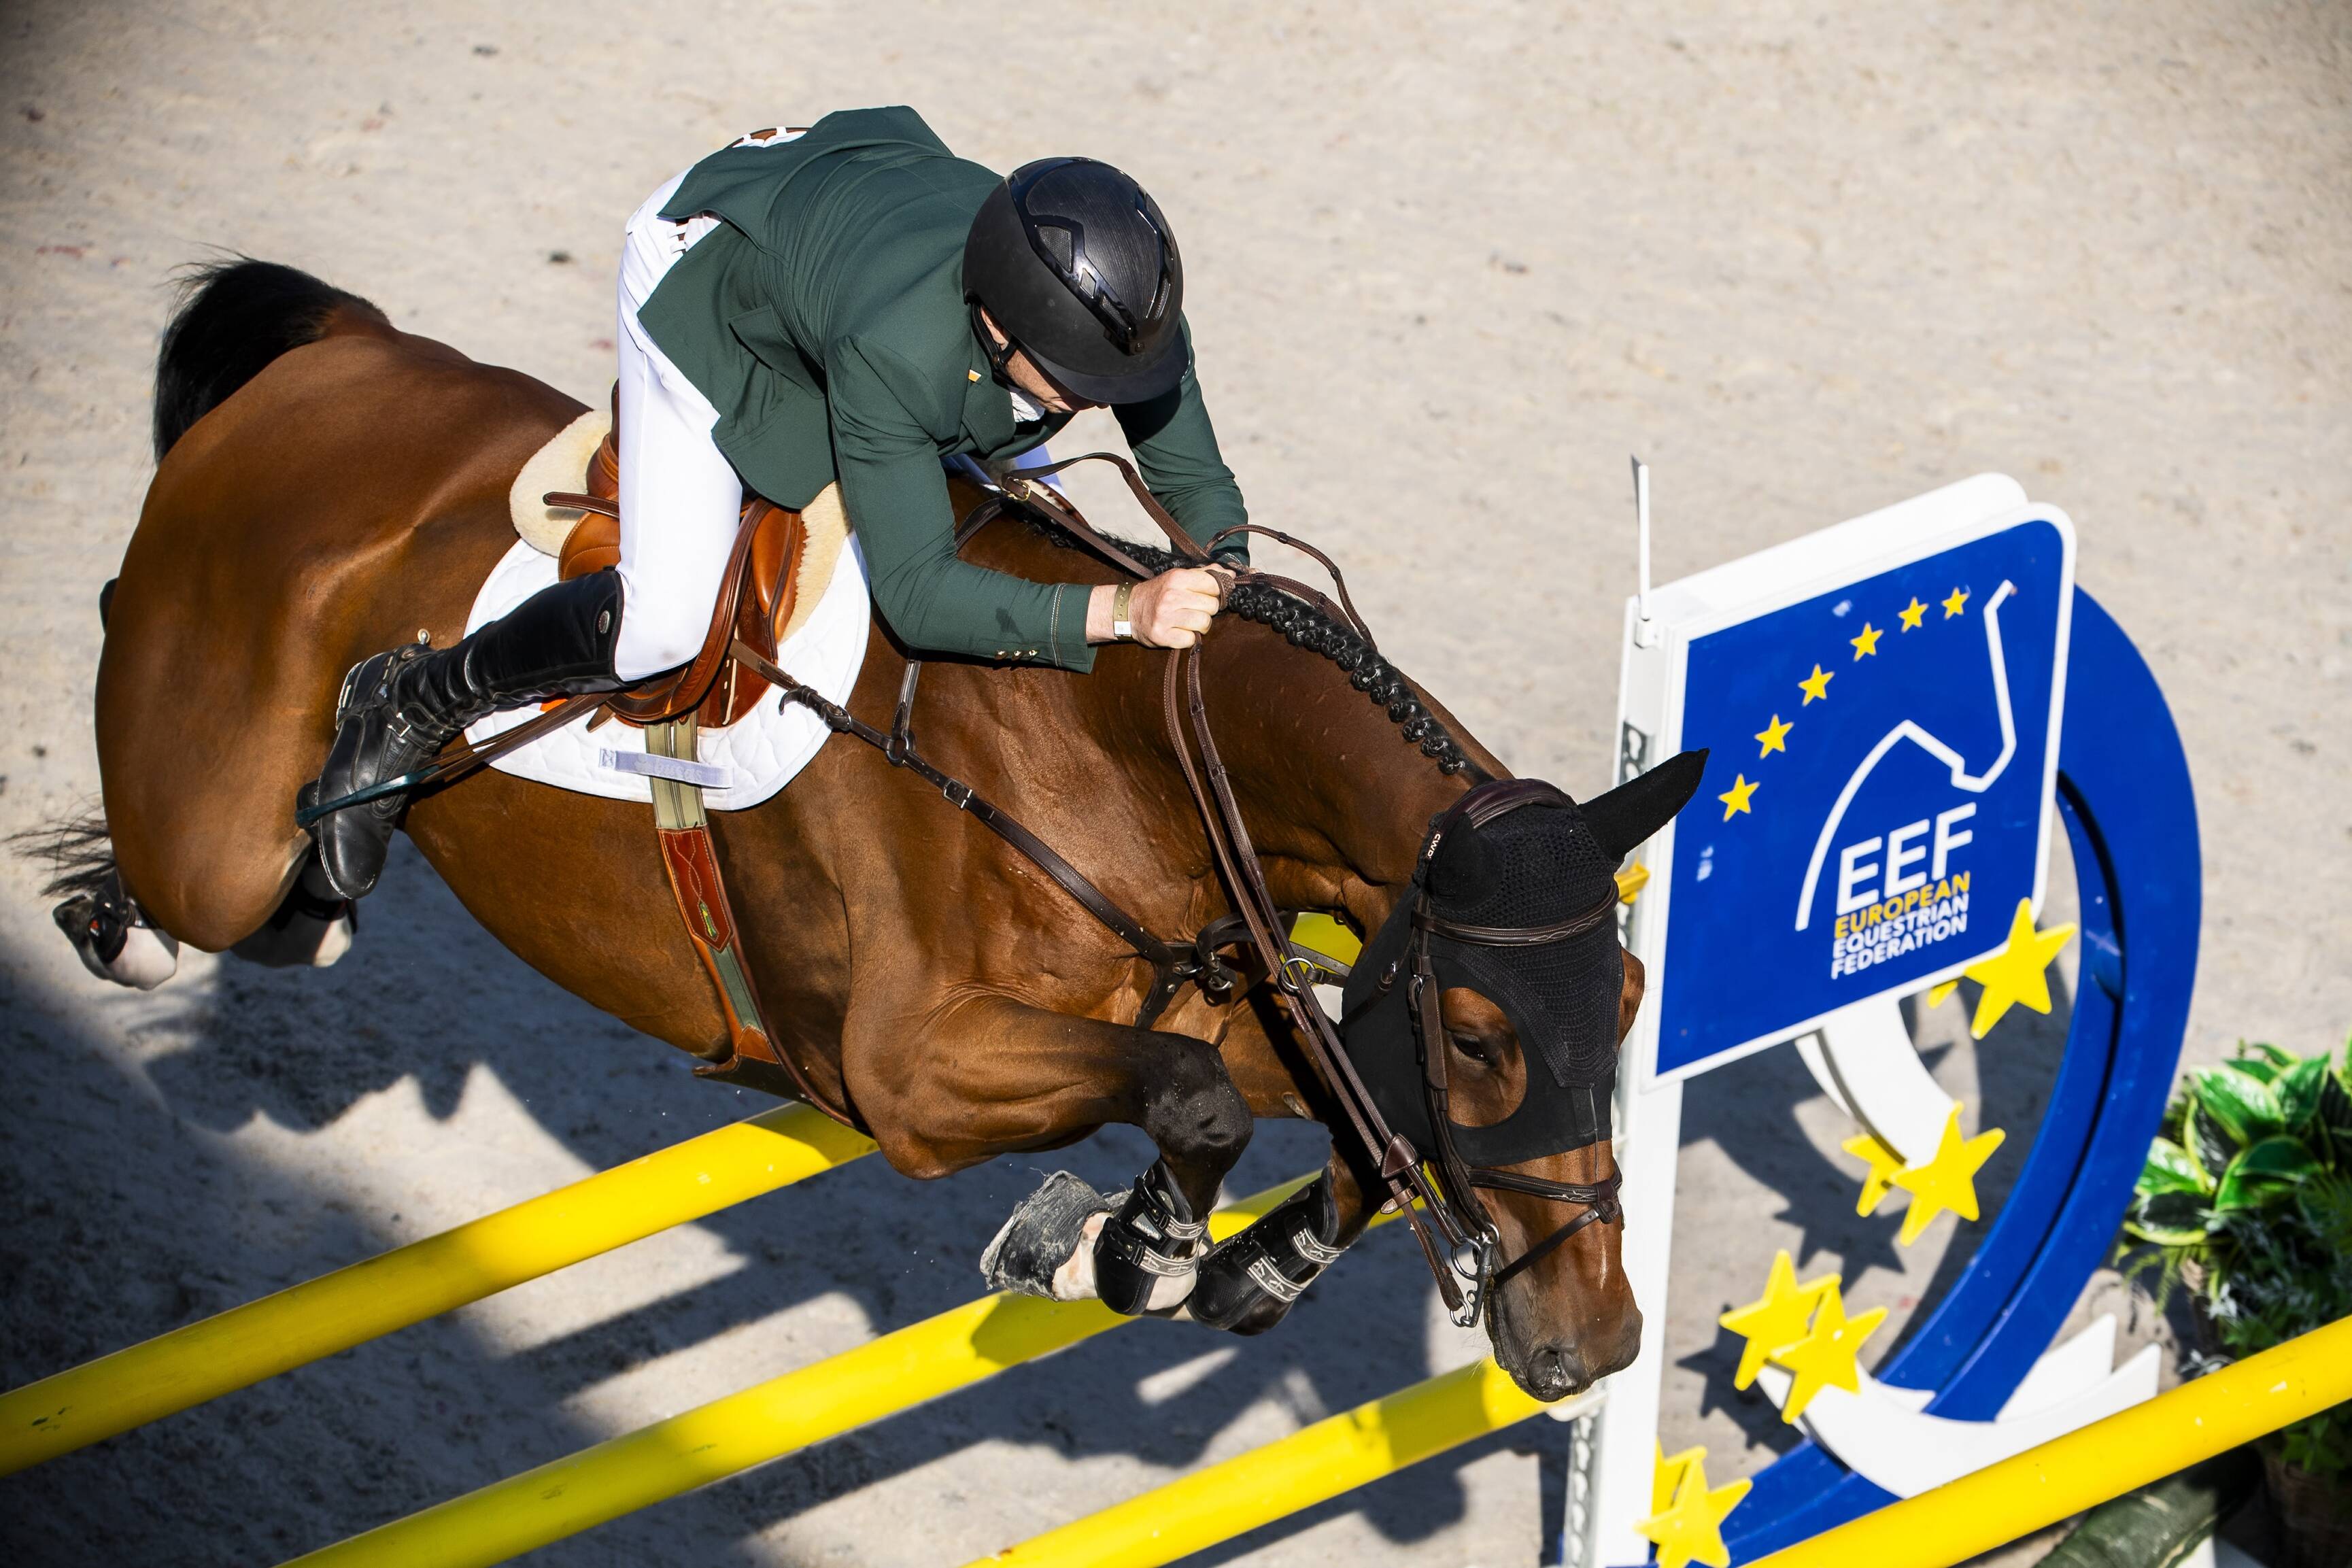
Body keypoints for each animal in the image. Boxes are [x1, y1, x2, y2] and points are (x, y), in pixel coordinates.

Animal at [49, 259, 1701, 1400]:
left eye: (1628, 999)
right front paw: (1118, 1250)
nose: (1600, 1340)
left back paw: (317, 865)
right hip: (211, 824)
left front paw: (1218, 1268)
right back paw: (161, 880)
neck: (1109, 753)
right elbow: (1197, 1106)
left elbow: (1339, 1111)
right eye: (1480, 1036)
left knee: (281, 902)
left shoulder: (1197, 1007)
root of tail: (335, 357)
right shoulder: (907, 1075)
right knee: (170, 825)